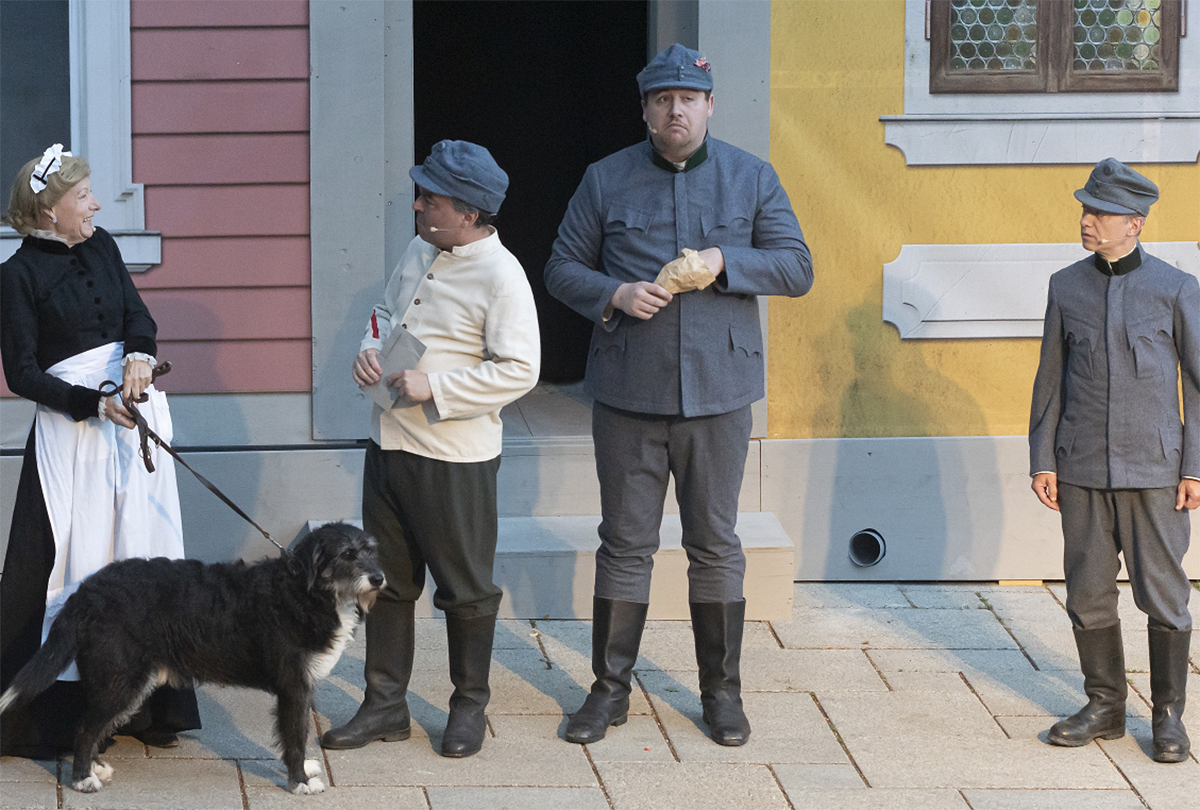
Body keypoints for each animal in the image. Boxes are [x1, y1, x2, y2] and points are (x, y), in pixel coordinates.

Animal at [0, 523, 381, 796]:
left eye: (370, 551)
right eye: (347, 553)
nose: (379, 578)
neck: (303, 591)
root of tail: (87, 590)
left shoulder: (301, 688)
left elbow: (297, 733)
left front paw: (303, 770)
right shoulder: (293, 687)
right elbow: (295, 736)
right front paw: (300, 781)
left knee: (94, 724)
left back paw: (94, 767)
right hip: (121, 682)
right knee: (85, 726)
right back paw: (82, 779)